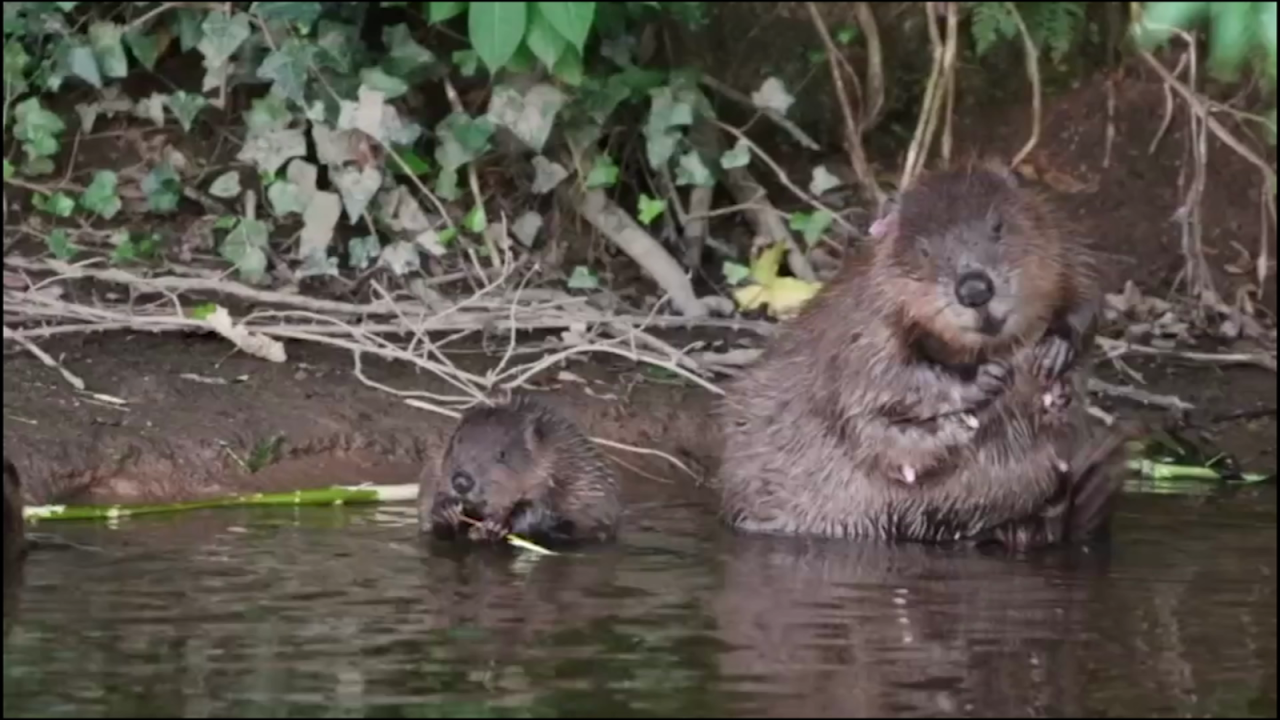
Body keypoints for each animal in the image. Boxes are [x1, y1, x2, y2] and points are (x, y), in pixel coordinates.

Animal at [417, 392, 622, 543]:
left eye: (502, 454)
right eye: (455, 443)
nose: (461, 481)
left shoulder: (562, 475)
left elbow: (538, 508)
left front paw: (494, 526)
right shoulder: (436, 462)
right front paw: (446, 508)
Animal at [716, 159, 1126, 545]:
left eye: (997, 226)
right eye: (925, 250)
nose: (975, 289)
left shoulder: (1060, 237)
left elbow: (1086, 288)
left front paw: (1055, 355)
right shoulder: (865, 317)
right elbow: (879, 384)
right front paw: (983, 382)